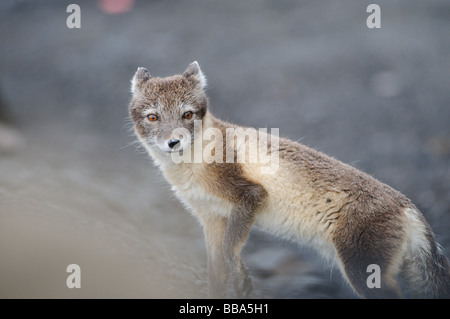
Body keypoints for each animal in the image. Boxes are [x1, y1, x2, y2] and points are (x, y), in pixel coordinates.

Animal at [127, 62, 450, 300]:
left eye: (187, 114)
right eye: (153, 117)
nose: (173, 142)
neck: (190, 168)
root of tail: (407, 205)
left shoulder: (250, 195)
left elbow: (231, 250)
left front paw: (243, 279)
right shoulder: (211, 218)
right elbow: (215, 272)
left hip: (364, 272)